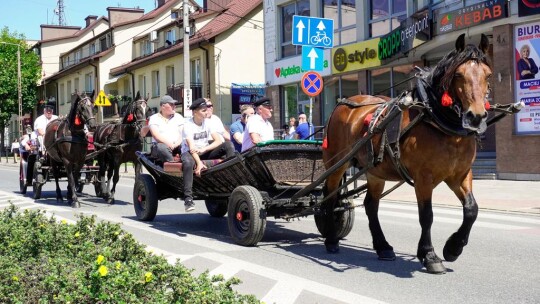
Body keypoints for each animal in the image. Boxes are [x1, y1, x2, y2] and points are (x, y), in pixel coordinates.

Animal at [322, 34, 492, 274]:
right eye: (459, 74)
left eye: (488, 75)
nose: (475, 116)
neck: (435, 119)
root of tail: (342, 104)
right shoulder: (423, 178)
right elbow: (427, 216)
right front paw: (430, 255)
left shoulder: (459, 175)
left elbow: (471, 210)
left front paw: (453, 248)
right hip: (336, 164)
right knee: (330, 197)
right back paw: (331, 240)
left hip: (375, 171)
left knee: (371, 206)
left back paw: (383, 247)